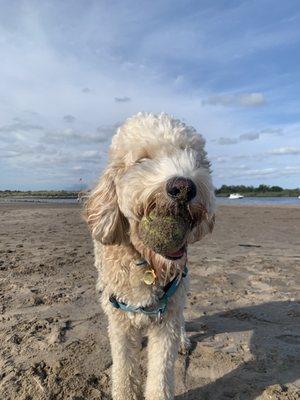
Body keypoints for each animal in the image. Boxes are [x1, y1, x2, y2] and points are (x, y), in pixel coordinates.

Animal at [85, 112, 214, 400]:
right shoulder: (119, 321)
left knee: (181, 319)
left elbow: (161, 374)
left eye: (193, 157)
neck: (147, 265)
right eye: (143, 160)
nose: (183, 187)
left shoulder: (165, 319)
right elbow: (123, 370)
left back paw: (183, 340)